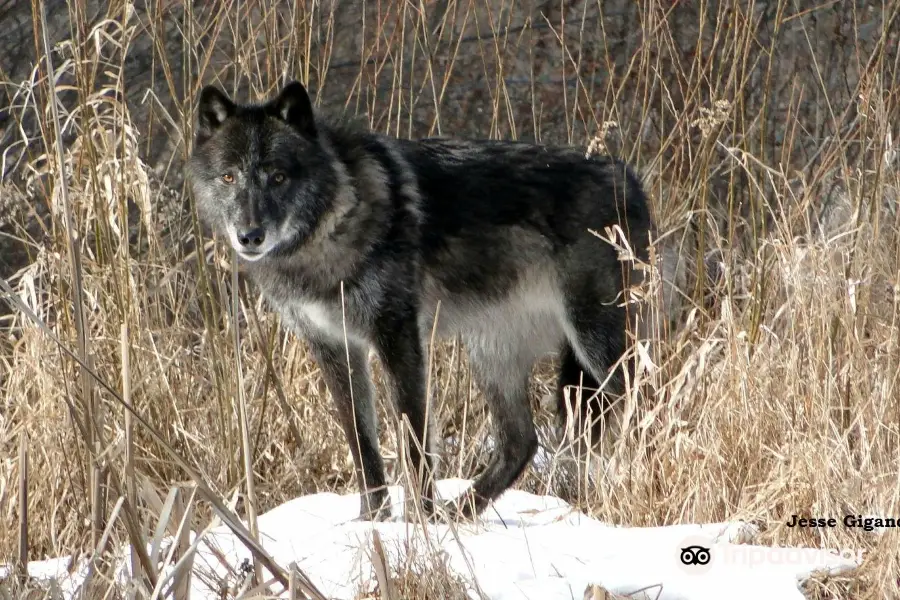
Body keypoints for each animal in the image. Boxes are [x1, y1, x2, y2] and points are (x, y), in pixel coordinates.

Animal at [186, 79, 656, 520]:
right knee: (521, 441)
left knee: (649, 405)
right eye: (229, 177)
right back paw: (462, 513)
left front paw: (420, 522)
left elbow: (414, 440)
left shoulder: (398, 336)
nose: (249, 236)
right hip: (492, 353)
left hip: (599, 346)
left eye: (278, 176)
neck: (332, 226)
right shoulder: (333, 348)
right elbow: (362, 443)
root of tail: (629, 178)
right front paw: (373, 521)